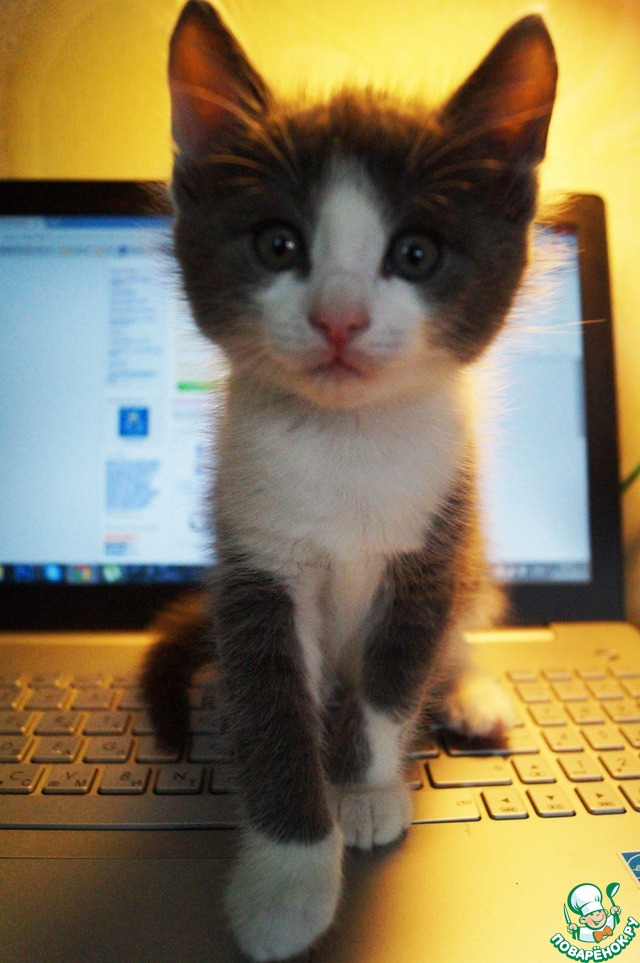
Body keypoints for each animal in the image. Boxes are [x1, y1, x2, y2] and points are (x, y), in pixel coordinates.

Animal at [142, 2, 557, 960]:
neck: (344, 444)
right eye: (278, 244)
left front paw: (366, 791)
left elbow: (395, 672)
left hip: (472, 552)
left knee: (458, 630)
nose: (339, 317)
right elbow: (270, 709)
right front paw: (290, 880)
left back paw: (472, 693)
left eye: (416, 253)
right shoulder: (252, 561)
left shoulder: (435, 539)